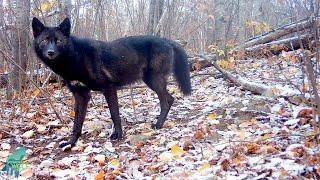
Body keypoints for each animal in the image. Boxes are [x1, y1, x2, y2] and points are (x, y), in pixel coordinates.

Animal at [32, 17, 191, 148]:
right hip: (151, 81)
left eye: (58, 41)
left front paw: (118, 135)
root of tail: (167, 40)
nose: (51, 52)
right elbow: (77, 122)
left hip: (154, 81)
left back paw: (158, 125)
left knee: (166, 100)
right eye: (44, 40)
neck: (75, 58)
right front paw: (71, 142)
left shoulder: (108, 88)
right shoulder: (81, 95)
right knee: (170, 99)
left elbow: (114, 114)